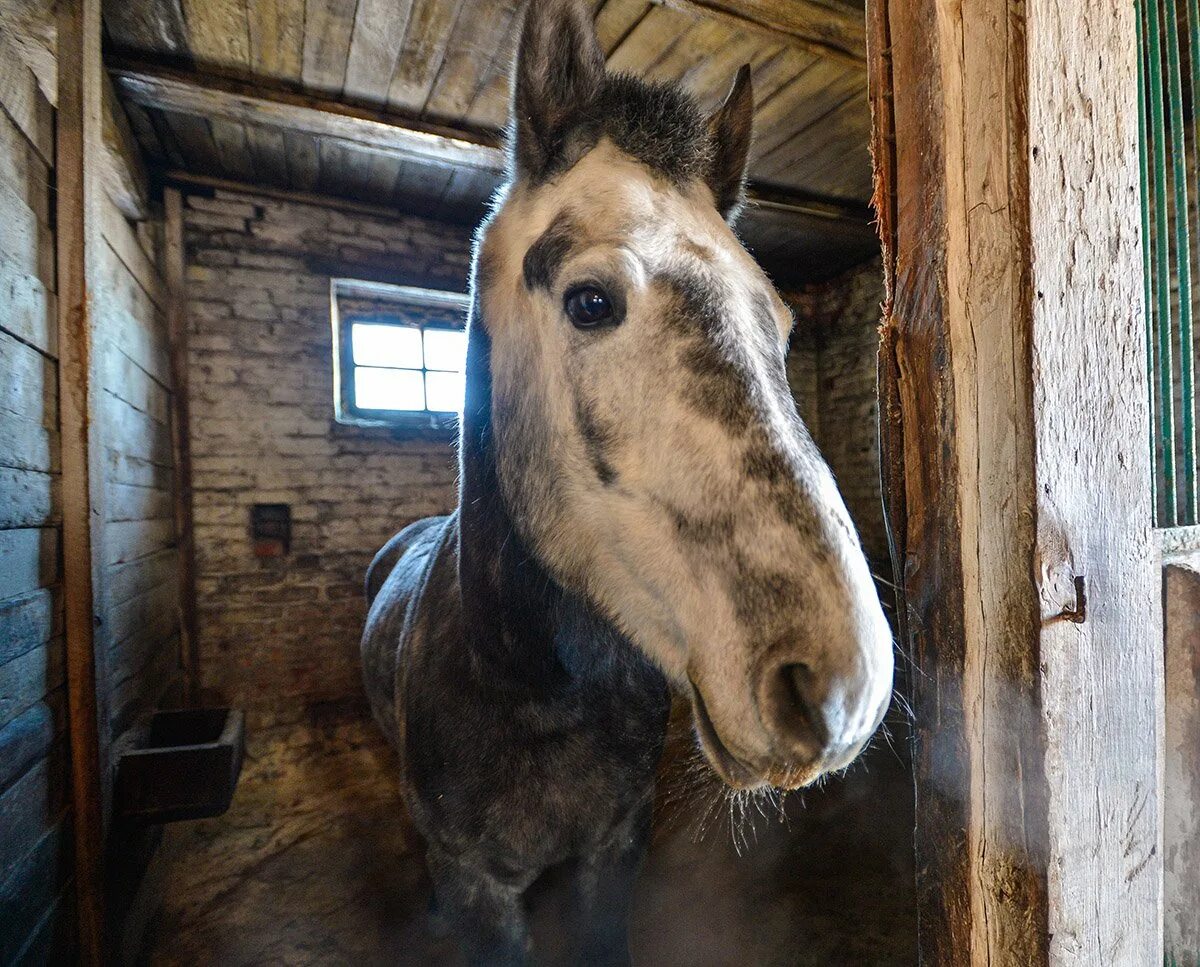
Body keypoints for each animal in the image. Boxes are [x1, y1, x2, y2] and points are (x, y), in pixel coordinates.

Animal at [360, 3, 897, 964]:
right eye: (590, 302)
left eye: (782, 323)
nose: (842, 686)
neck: (534, 692)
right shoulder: (473, 884)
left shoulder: (617, 850)